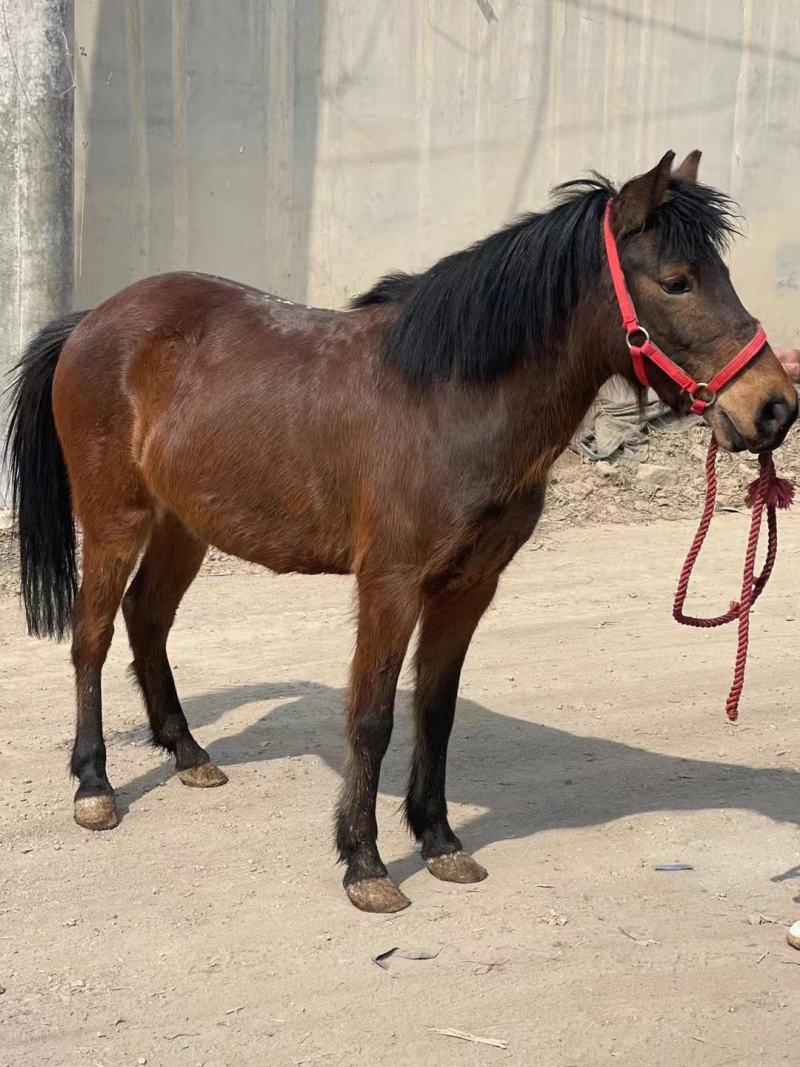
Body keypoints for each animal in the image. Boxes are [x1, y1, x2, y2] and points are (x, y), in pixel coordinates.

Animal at [5, 150, 797, 914]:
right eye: (677, 281)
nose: (774, 407)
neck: (448, 400)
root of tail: (91, 319)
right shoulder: (390, 583)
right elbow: (372, 716)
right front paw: (365, 862)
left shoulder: (469, 586)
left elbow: (435, 711)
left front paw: (440, 838)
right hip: (115, 519)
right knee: (92, 634)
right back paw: (94, 785)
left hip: (183, 524)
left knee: (148, 618)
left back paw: (188, 753)